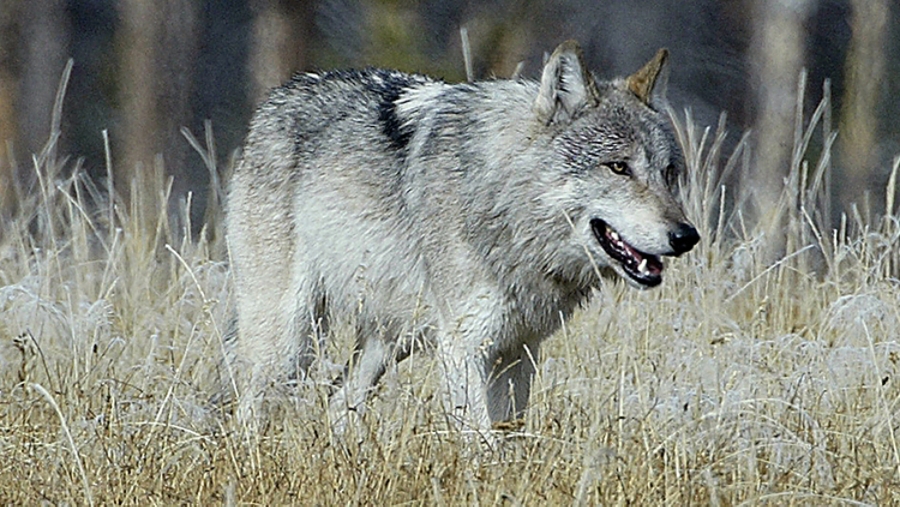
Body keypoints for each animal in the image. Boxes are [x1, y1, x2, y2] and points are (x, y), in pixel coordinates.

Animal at [227, 39, 704, 434]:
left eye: (668, 173)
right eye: (619, 167)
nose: (686, 236)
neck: (504, 204)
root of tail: (277, 98)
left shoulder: (517, 352)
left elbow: (508, 437)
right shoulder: (463, 347)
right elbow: (481, 441)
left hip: (388, 341)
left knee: (338, 399)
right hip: (287, 342)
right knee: (250, 412)